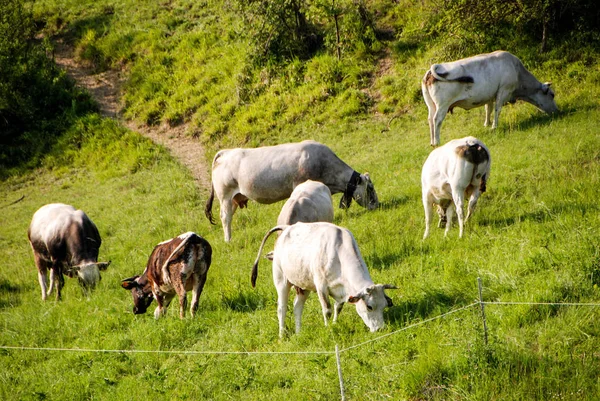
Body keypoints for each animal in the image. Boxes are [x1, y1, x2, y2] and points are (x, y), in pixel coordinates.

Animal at [204, 139, 378, 242]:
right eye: (370, 188)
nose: (376, 205)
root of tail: (226, 152)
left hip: (234, 198)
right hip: (225, 196)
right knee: (225, 218)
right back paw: (228, 240)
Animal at [251, 220, 396, 336]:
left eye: (384, 305)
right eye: (369, 306)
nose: (381, 329)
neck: (338, 251)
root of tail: (287, 228)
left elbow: (338, 307)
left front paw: (335, 324)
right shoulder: (321, 286)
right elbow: (327, 310)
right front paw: (328, 328)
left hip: (303, 285)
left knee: (297, 307)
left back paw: (299, 333)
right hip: (281, 280)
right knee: (282, 308)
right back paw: (282, 335)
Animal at [422, 50, 556, 146]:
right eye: (552, 94)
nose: (557, 111)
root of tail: (431, 70)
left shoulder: (490, 95)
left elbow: (488, 109)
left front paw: (487, 124)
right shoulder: (503, 91)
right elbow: (497, 109)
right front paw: (494, 126)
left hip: (431, 105)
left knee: (430, 120)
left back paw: (432, 142)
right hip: (442, 105)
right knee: (437, 120)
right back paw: (437, 142)